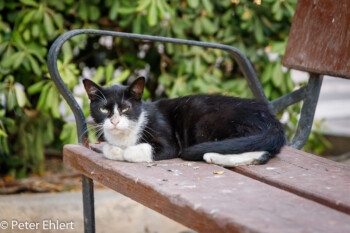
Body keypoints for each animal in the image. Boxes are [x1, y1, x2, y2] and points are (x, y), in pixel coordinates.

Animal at [83, 77, 286, 167]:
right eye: (103, 110)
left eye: (125, 108)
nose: (114, 122)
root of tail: (272, 121)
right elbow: (107, 148)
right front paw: (115, 149)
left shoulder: (168, 143)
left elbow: (134, 151)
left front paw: (123, 152)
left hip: (207, 123)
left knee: (257, 149)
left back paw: (213, 155)